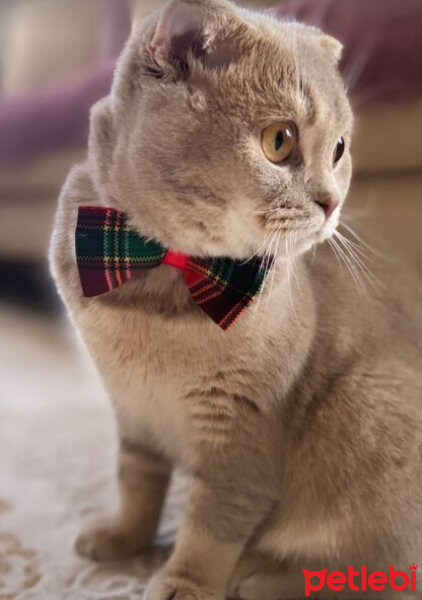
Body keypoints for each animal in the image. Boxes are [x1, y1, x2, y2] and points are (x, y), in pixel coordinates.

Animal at [49, 1, 422, 600]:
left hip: (365, 405)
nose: (332, 203)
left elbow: (211, 526)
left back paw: (261, 575)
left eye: (339, 149)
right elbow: (137, 482)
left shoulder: (239, 438)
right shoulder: (132, 410)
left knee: (377, 571)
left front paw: (184, 581)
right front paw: (123, 538)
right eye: (279, 140)